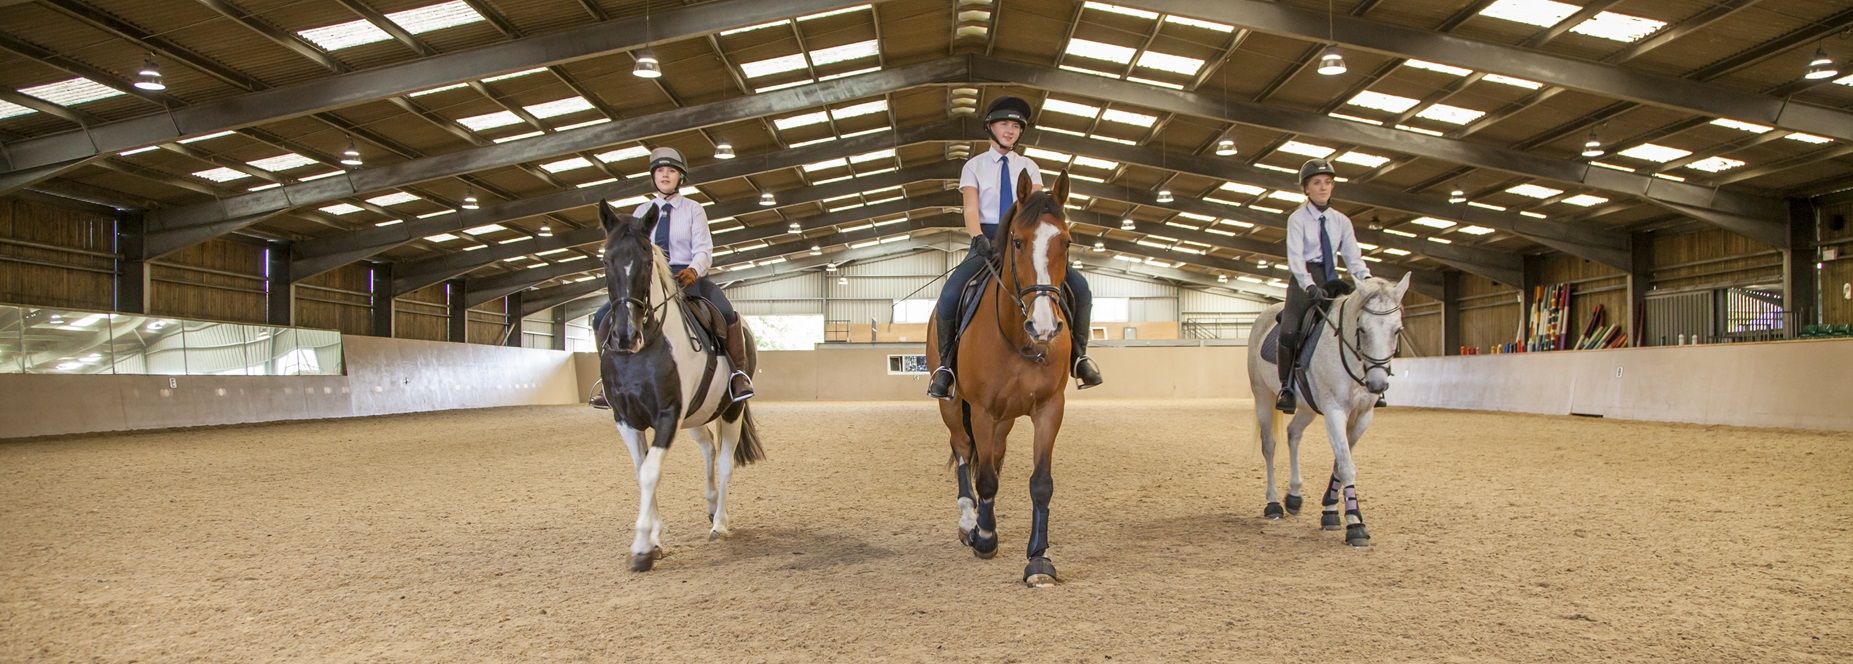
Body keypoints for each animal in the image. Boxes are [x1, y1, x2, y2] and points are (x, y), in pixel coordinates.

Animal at [596, 202, 763, 571]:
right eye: (606, 260)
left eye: (646, 261)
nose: (626, 335)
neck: (644, 347)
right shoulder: (625, 419)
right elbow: (643, 471)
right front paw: (655, 540)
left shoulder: (667, 415)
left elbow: (650, 473)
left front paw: (642, 548)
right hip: (695, 418)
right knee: (709, 449)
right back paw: (712, 506)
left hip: (731, 409)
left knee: (724, 462)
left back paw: (720, 524)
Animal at [933, 166, 1082, 586]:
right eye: (1017, 241)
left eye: (1066, 242)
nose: (1044, 327)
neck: (1019, 338)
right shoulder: (982, 410)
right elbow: (983, 476)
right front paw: (984, 538)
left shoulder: (1049, 408)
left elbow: (1040, 483)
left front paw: (1039, 560)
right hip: (953, 406)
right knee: (965, 452)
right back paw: (970, 521)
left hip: (1006, 418)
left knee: (994, 456)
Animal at [1252, 272, 1408, 549]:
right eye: (1362, 329)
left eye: (1397, 330)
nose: (1377, 384)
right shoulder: (1335, 411)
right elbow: (1346, 465)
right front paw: (1356, 525)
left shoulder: (1362, 416)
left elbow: (1340, 462)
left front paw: (1330, 512)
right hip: (1263, 395)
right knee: (1269, 445)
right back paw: (1273, 504)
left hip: (1307, 407)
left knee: (1293, 433)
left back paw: (1294, 496)